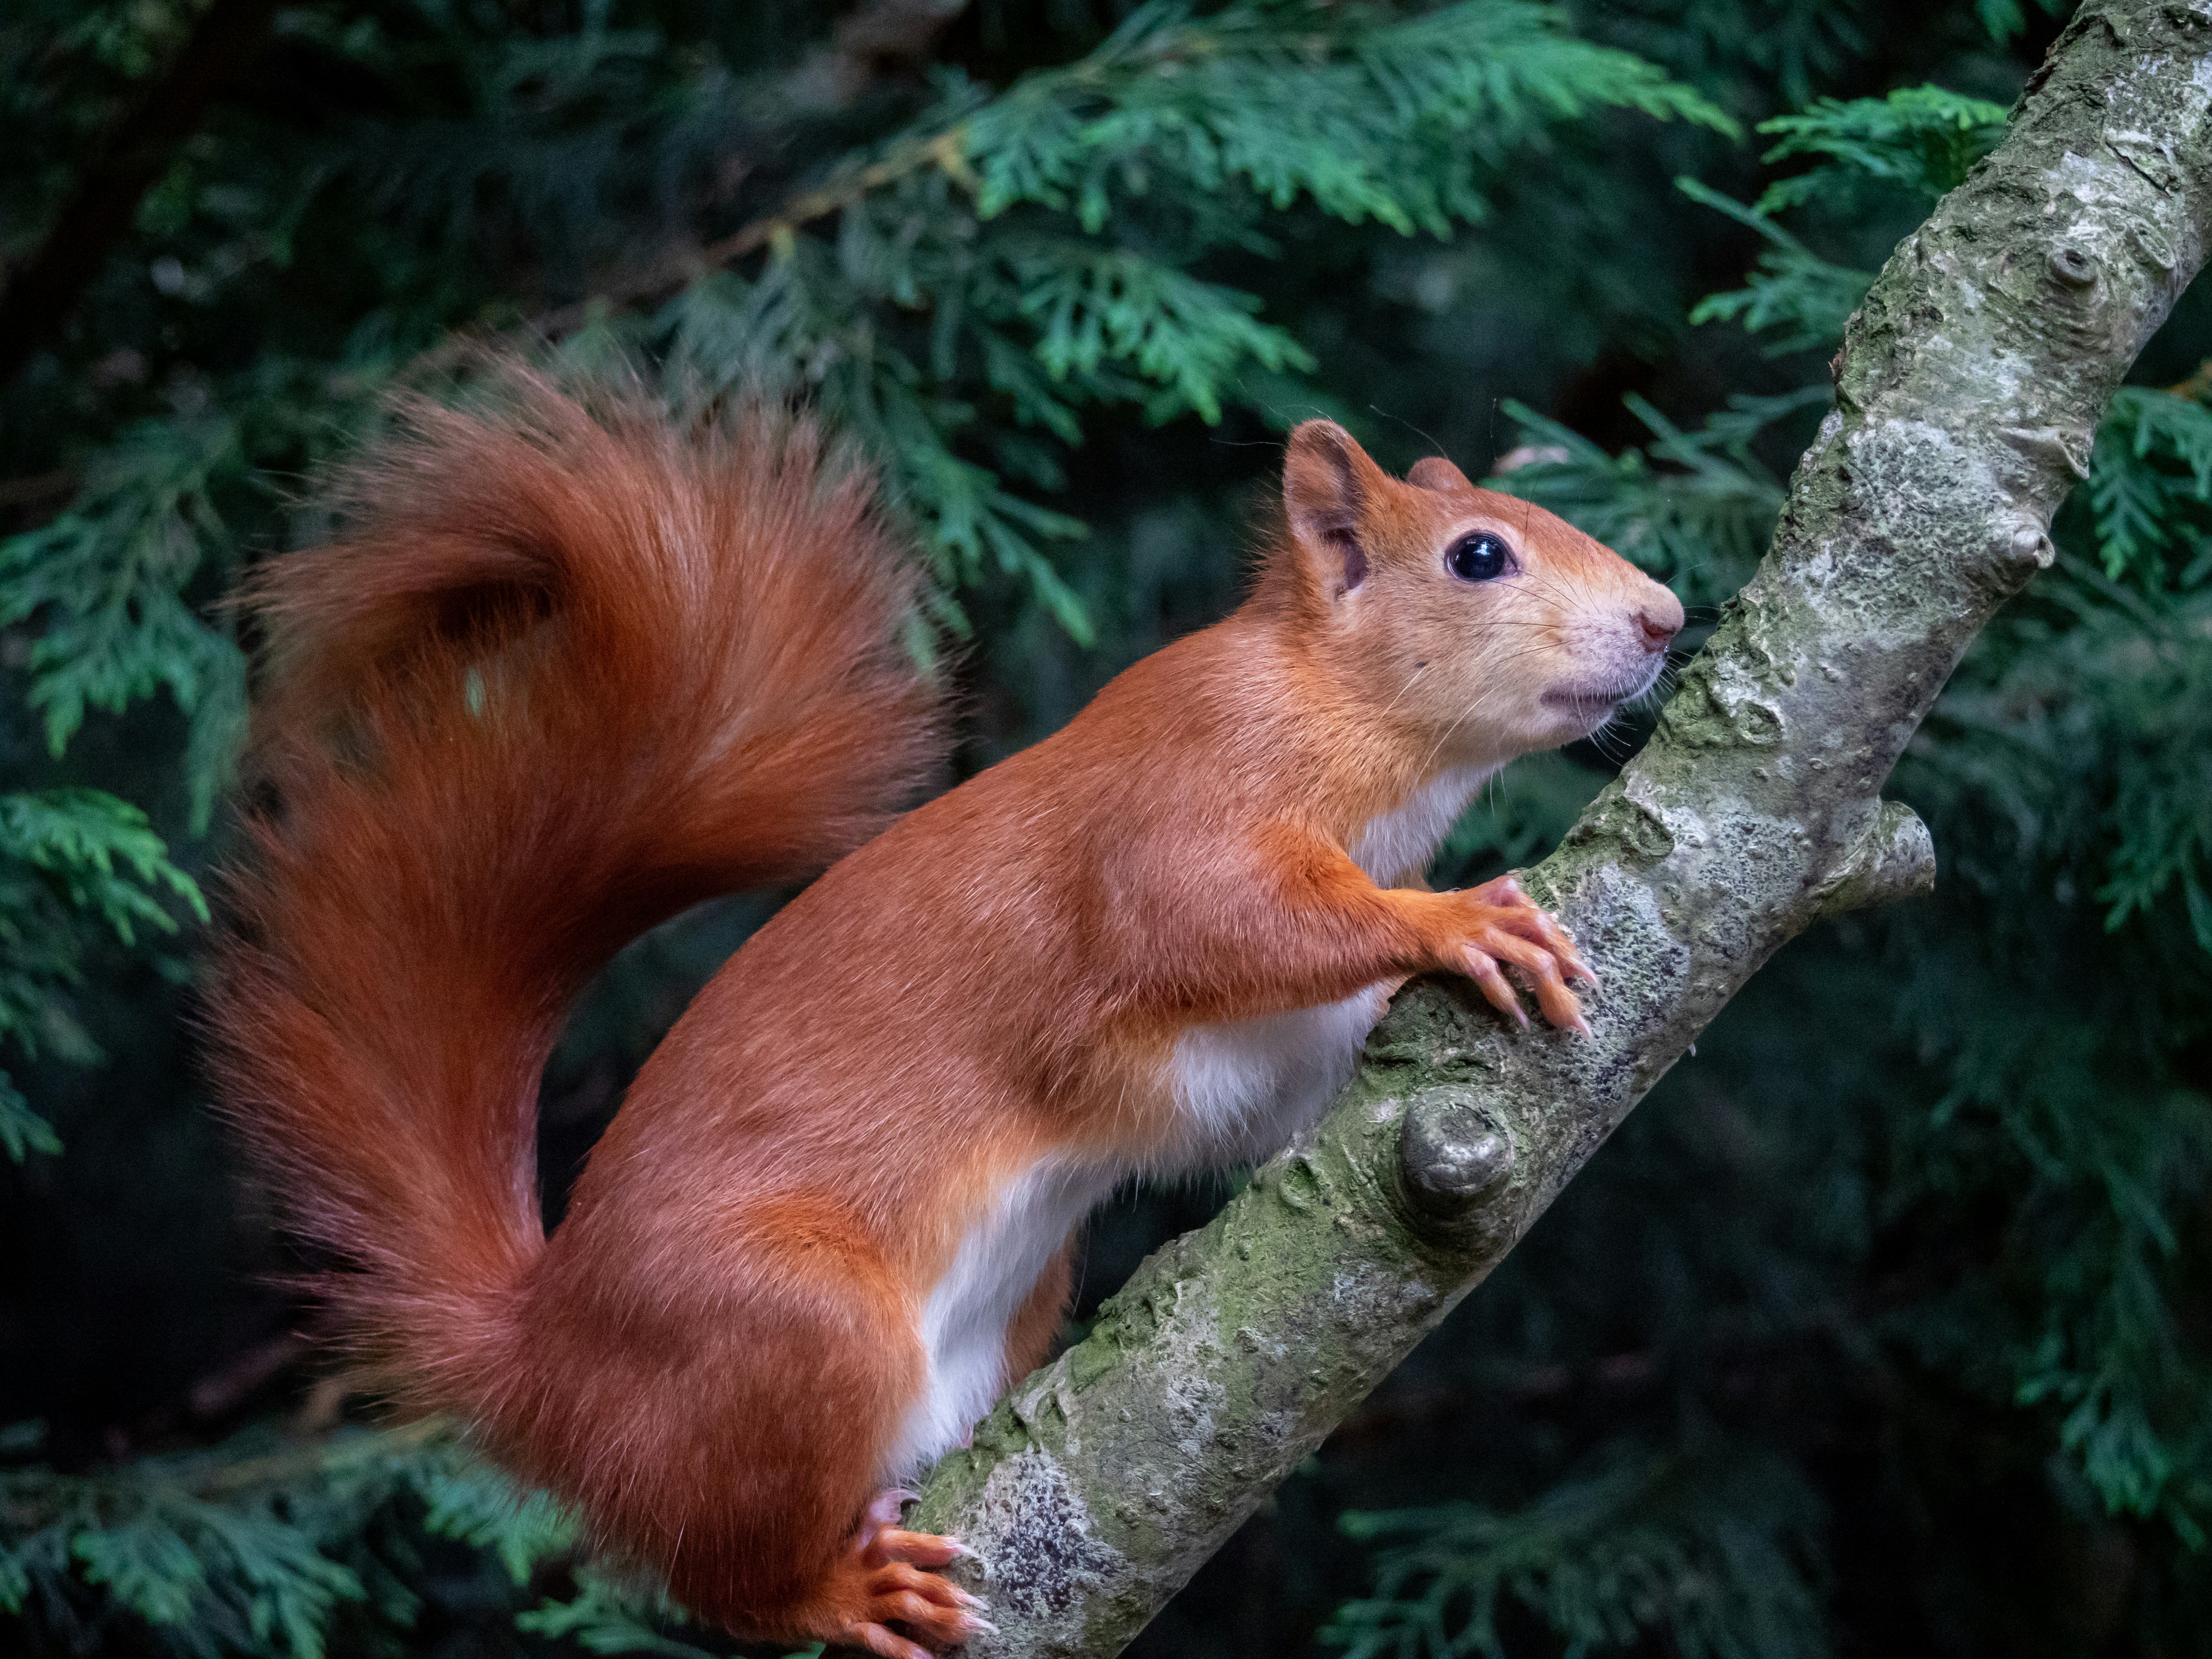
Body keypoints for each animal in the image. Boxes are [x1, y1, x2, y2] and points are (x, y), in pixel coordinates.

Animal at [206, 372, 1682, 1659]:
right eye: (1478, 555)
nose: (1667, 618)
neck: (1332, 705)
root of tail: (546, 1360)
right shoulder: (1179, 810)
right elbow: (1220, 916)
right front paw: (1453, 919)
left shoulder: (1262, 1057)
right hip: (788, 1329)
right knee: (723, 1578)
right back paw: (837, 1593)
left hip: (1012, 1303)